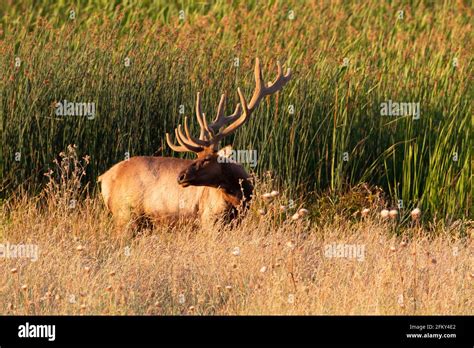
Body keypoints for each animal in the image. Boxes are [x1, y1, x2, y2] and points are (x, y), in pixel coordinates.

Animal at [98, 59, 290, 234]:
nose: (180, 177)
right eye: (197, 157)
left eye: (207, 159)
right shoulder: (209, 218)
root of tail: (104, 178)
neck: (238, 196)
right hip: (126, 215)